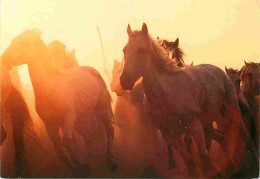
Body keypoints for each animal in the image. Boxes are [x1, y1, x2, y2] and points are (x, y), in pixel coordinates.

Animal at [1, 28, 117, 176]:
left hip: (101, 109)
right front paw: (79, 169)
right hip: (82, 117)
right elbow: (59, 151)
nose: (4, 59)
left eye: (22, 42)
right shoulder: (50, 125)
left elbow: (67, 142)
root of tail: (91, 70)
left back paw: (110, 161)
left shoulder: (68, 118)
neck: (50, 89)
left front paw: (81, 166)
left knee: (109, 129)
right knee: (87, 135)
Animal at [116, 23, 248, 178]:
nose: (124, 81)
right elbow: (189, 161)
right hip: (210, 120)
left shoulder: (193, 125)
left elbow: (205, 157)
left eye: (141, 50)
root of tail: (220, 70)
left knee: (243, 135)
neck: (166, 94)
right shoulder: (169, 134)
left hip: (231, 111)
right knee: (222, 138)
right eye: (124, 50)